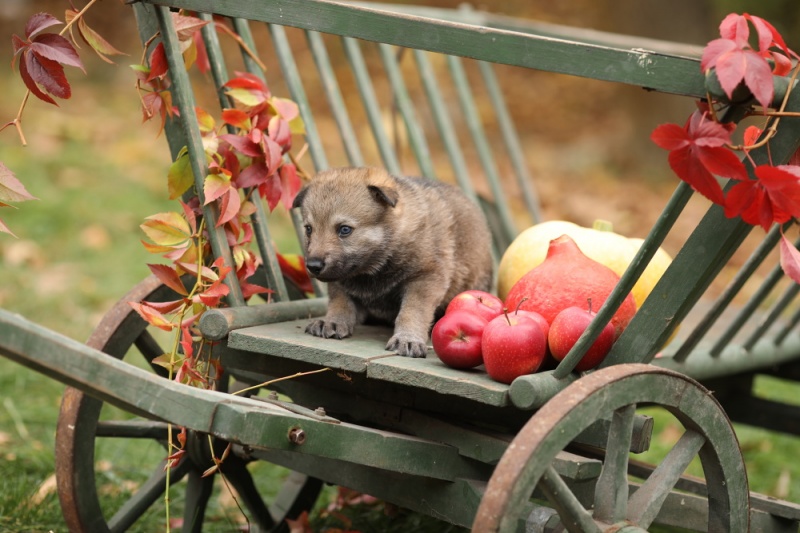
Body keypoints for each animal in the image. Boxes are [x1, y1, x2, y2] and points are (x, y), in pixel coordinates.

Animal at [294, 166, 494, 358]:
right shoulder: (340, 280)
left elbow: (412, 311)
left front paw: (407, 338)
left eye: (344, 230)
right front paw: (332, 321)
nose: (313, 266)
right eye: (309, 229)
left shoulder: (425, 279)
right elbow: (340, 302)